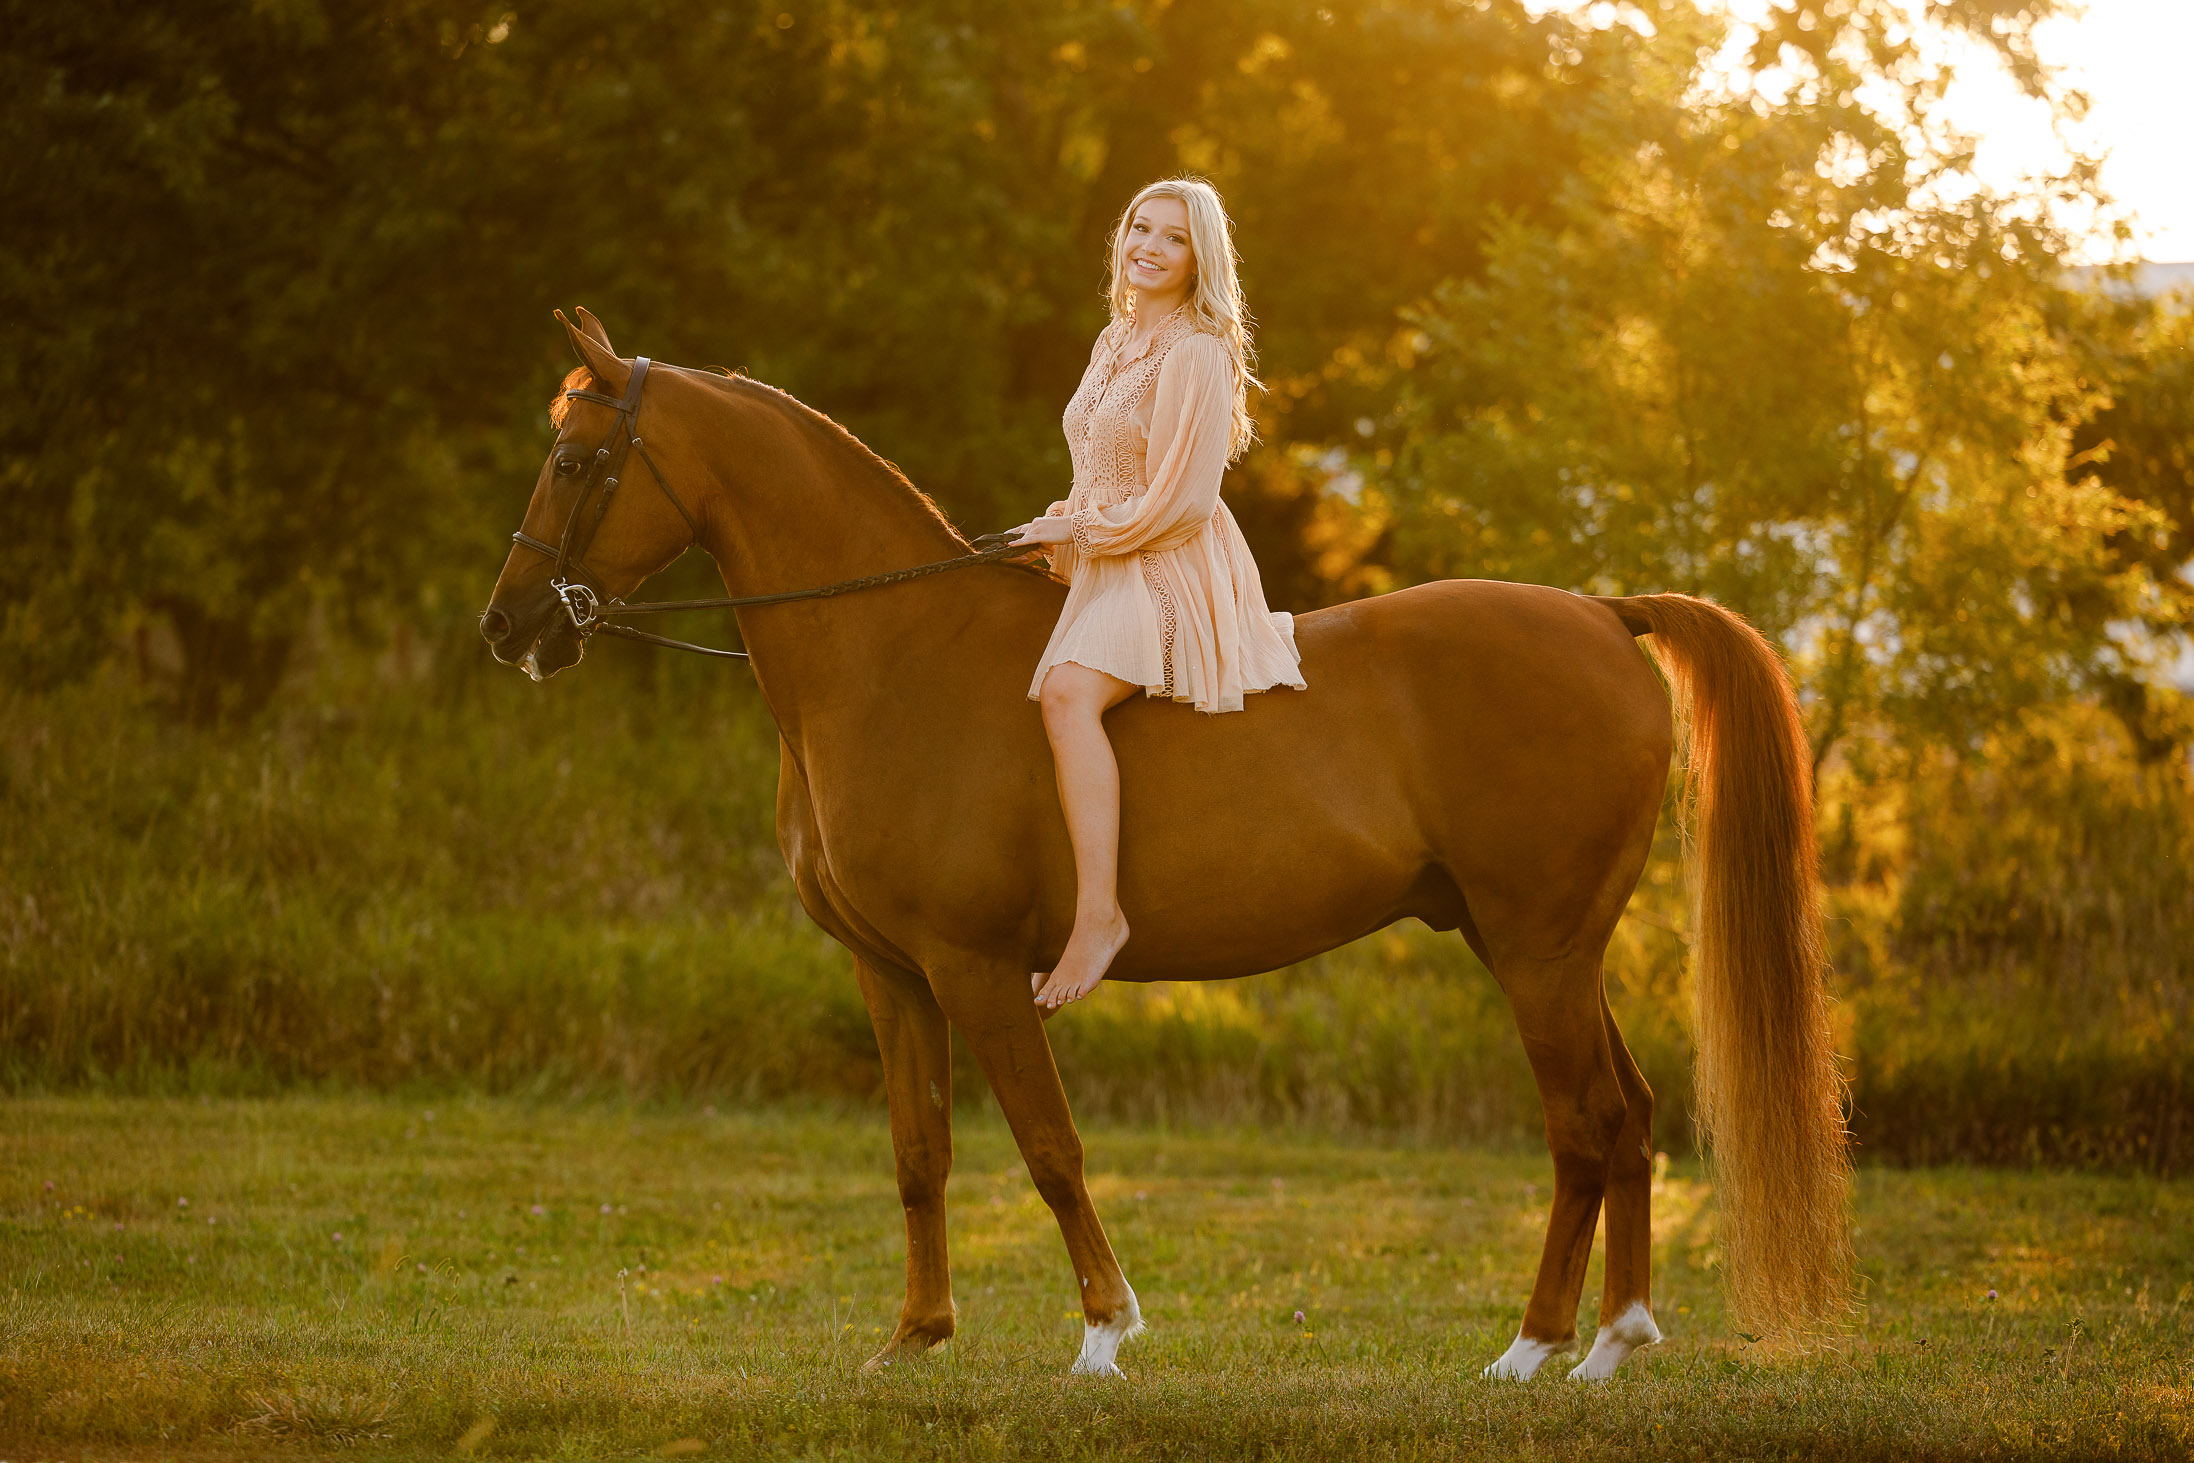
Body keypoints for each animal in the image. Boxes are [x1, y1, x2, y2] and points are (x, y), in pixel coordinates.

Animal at [484, 309, 1851, 1386]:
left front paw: (1103, 1331)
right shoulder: (892, 971)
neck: (894, 652)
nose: (508, 628)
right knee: (1629, 1116)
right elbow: (921, 1153)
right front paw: (916, 1337)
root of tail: (1602, 614)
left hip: (1535, 952)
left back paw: (1534, 1347)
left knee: (1583, 1124)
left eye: (574, 457)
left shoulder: (980, 967)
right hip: (1548, 950)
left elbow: (1048, 1145)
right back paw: (1615, 1339)